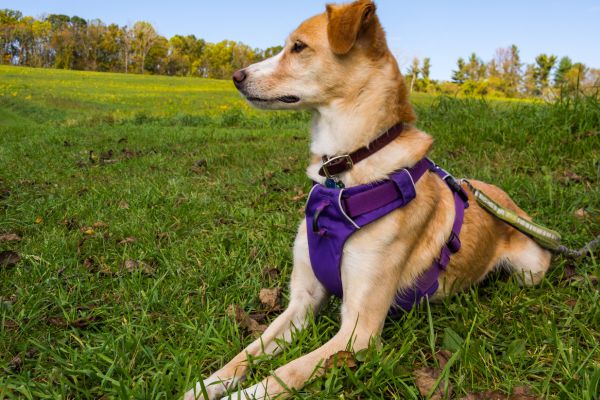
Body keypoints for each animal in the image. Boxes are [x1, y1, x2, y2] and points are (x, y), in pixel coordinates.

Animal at [185, 1, 552, 398]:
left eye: (298, 47)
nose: (236, 76)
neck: (343, 175)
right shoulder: (302, 302)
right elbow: (247, 352)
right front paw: (205, 386)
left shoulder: (357, 332)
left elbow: (286, 373)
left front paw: (243, 393)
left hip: (531, 271)